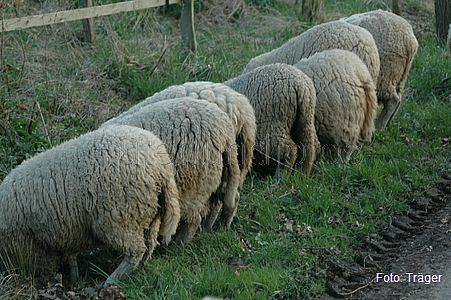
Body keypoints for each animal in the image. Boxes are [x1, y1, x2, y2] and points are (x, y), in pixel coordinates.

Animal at [0, 124, 183, 284]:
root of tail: (160, 163)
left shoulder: (30, 247)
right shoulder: (67, 231)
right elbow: (71, 257)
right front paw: (75, 278)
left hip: (119, 218)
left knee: (136, 252)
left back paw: (110, 281)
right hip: (148, 214)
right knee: (149, 247)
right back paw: (139, 270)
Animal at [102, 97, 242, 243]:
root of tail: (225, 130)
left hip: (194, 184)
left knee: (194, 218)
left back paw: (179, 242)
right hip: (216, 176)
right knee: (230, 199)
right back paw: (218, 227)